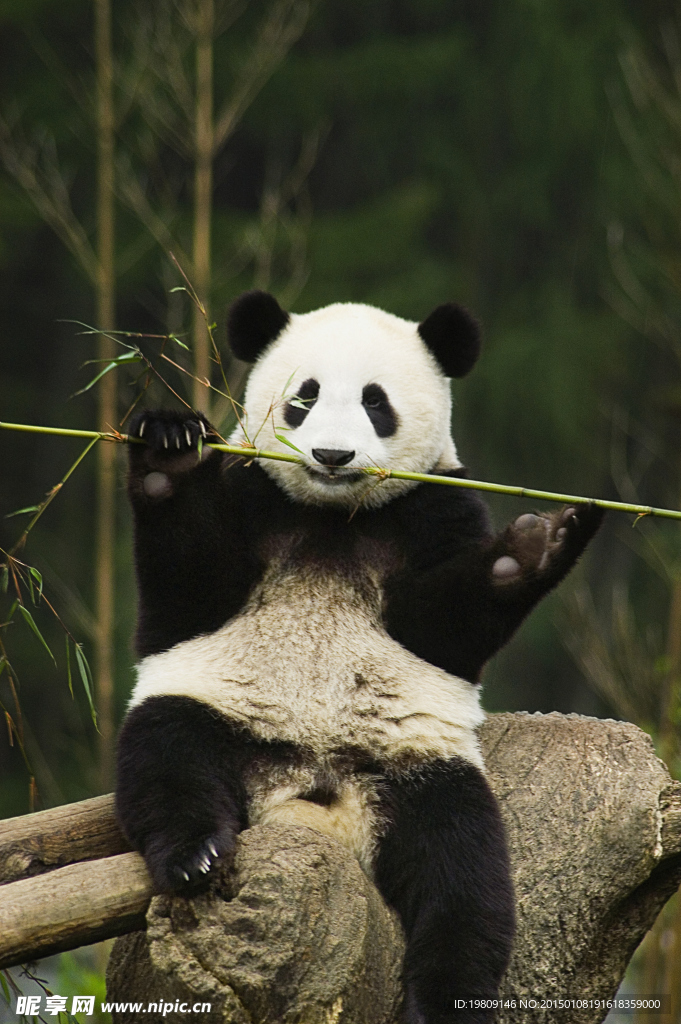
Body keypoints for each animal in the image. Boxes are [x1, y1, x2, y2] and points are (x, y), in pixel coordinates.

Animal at [115, 290, 602, 1024]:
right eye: (304, 397)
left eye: (377, 402)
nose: (332, 454)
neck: (333, 515)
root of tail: (315, 798)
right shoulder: (248, 491)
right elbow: (188, 598)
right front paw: (168, 453)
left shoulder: (437, 507)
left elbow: (445, 629)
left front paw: (534, 547)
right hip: (216, 714)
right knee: (168, 757)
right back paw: (196, 856)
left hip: (416, 772)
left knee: (463, 873)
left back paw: (447, 995)